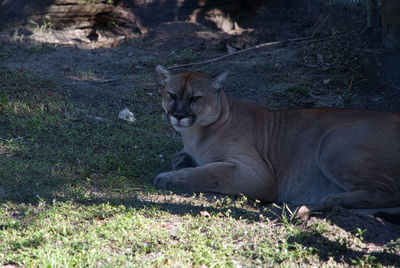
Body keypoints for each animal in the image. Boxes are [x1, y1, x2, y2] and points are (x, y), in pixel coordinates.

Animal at [154, 65, 400, 218]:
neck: (196, 134)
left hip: (332, 142)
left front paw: (170, 178)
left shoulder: (257, 174)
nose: (178, 115)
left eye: (195, 98)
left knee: (389, 192)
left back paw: (328, 199)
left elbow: (211, 172)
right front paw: (182, 162)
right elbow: (181, 156)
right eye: (172, 95)